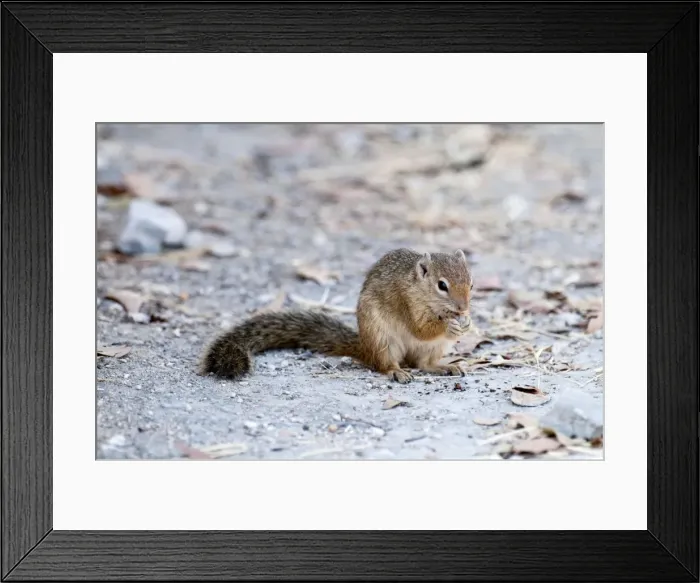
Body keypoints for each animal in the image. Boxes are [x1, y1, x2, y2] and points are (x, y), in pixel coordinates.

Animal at [200, 247, 473, 384]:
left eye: (471, 282)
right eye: (442, 285)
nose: (462, 308)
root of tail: (364, 348)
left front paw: (468, 323)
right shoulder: (405, 301)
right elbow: (420, 329)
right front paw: (450, 326)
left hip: (433, 348)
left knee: (422, 363)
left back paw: (444, 366)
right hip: (382, 340)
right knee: (386, 365)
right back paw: (397, 372)